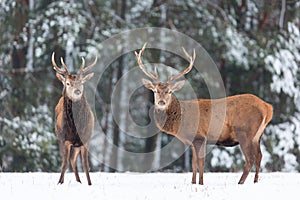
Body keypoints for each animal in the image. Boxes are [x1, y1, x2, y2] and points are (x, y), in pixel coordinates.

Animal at [52, 52, 96, 185]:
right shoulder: (65, 139)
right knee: (68, 160)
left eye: (81, 82)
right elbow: (64, 164)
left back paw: (79, 181)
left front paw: (90, 183)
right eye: (67, 83)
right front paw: (60, 182)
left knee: (73, 160)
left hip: (77, 145)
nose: (77, 91)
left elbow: (86, 166)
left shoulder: (85, 139)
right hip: (62, 140)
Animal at [135, 43, 274, 184]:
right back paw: (255, 181)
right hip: (258, 135)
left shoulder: (200, 137)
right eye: (155, 91)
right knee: (259, 156)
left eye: (169, 91)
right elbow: (193, 164)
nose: (161, 102)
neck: (180, 120)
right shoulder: (192, 142)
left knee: (250, 158)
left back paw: (240, 183)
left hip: (244, 131)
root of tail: (267, 108)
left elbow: (200, 163)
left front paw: (201, 183)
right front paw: (193, 182)